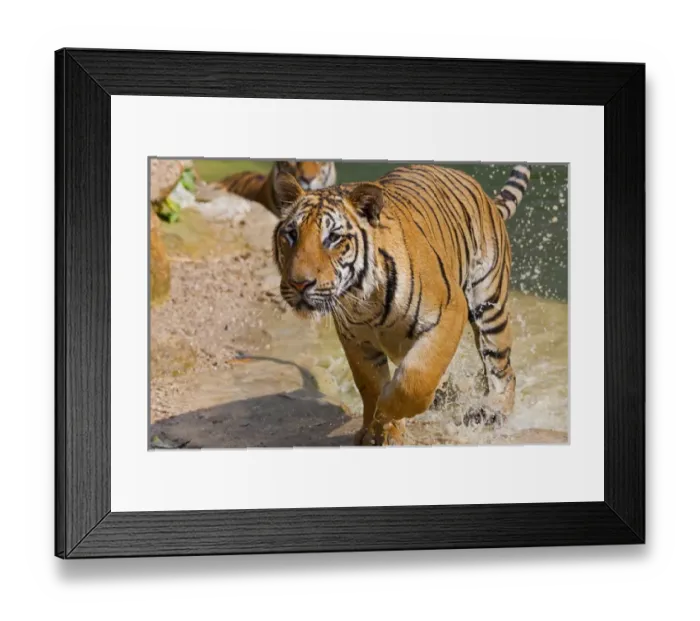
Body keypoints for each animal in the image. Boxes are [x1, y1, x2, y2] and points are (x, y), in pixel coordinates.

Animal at [272, 163, 531, 446]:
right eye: (291, 234)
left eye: (333, 238)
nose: (299, 284)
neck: (363, 298)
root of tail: (485, 196)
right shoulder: (355, 339)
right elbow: (370, 385)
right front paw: (376, 431)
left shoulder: (451, 310)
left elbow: (414, 381)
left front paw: (386, 414)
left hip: (488, 302)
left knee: (501, 367)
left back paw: (492, 411)